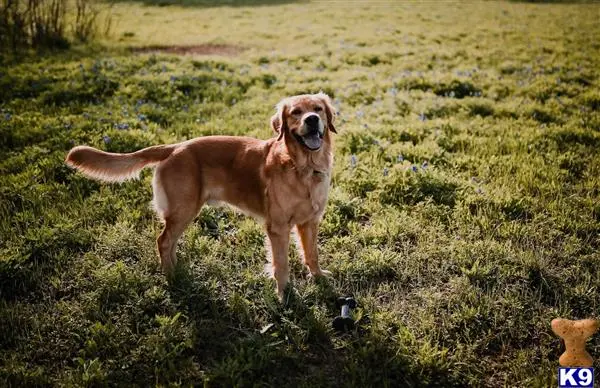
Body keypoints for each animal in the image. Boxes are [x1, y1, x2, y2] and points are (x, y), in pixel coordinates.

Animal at [67, 93, 338, 298]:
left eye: (317, 109)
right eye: (295, 112)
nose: (312, 120)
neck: (304, 168)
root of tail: (174, 147)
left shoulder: (310, 222)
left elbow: (312, 254)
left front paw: (318, 277)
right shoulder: (278, 227)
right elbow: (281, 264)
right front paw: (284, 295)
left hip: (184, 211)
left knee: (169, 243)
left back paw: (177, 270)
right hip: (184, 209)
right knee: (163, 241)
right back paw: (171, 277)